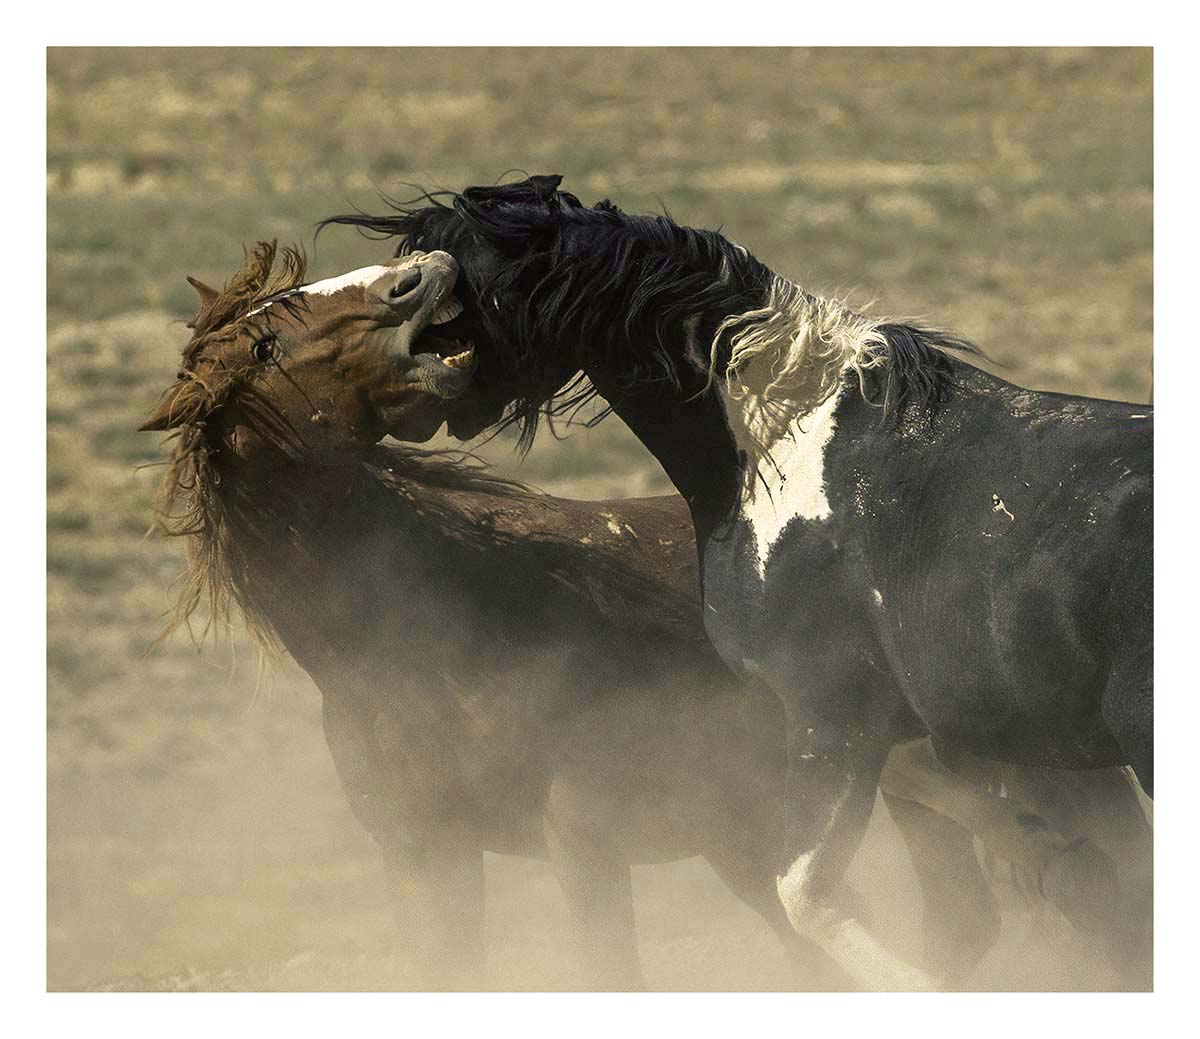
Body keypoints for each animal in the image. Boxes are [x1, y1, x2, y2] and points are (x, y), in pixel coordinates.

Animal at [320, 175, 1153, 989]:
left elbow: (809, 899)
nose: (421, 411)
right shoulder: (919, 739)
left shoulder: (831, 717)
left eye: (454, 296)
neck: (780, 441)